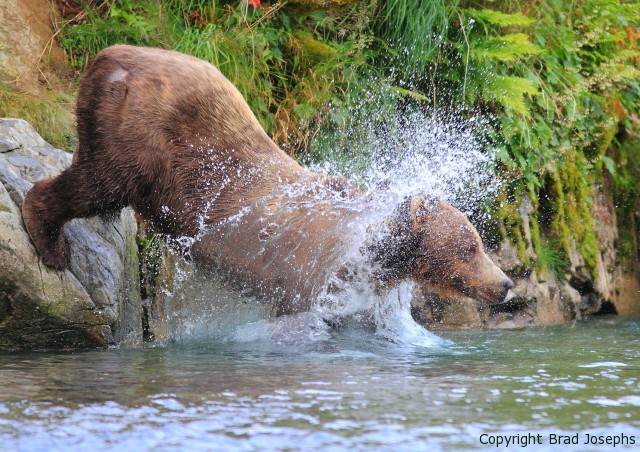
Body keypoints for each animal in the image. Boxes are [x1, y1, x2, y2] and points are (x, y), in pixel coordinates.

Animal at [22, 45, 512, 314]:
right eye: (471, 245)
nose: (505, 283)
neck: (369, 247)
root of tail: (108, 55)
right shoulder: (307, 269)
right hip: (144, 136)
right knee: (99, 183)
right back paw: (50, 239)